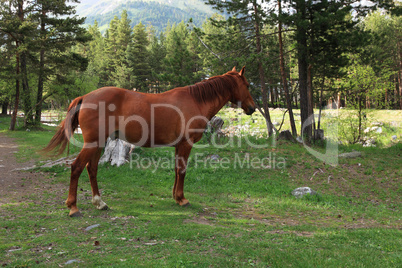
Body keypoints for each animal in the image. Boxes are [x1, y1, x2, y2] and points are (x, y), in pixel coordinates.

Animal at [44, 66, 256, 217]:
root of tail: (85, 97)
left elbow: (177, 170)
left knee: (92, 169)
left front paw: (175, 196)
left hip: (98, 144)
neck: (195, 101)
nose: (252, 108)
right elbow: (182, 170)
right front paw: (182, 199)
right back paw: (73, 207)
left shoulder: (178, 146)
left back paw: (100, 203)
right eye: (247, 85)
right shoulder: (186, 145)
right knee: (76, 167)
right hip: (92, 143)